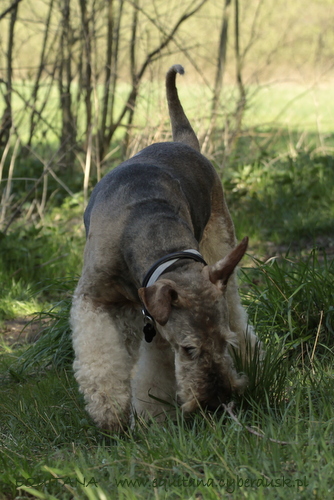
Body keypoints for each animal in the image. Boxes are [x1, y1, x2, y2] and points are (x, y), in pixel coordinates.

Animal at [70, 64, 258, 432]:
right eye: (188, 349)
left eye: (224, 342)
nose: (216, 401)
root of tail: (184, 141)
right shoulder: (93, 299)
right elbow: (101, 358)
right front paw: (111, 412)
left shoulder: (155, 323)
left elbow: (152, 374)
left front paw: (153, 415)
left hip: (221, 245)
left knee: (235, 307)